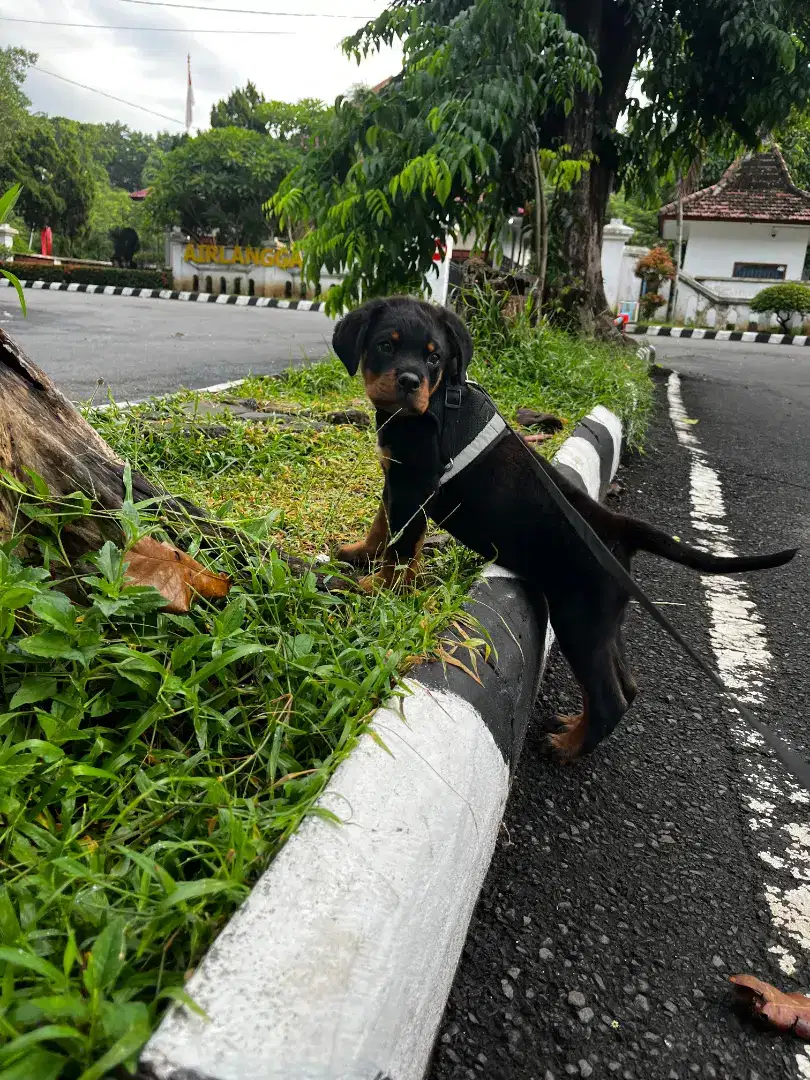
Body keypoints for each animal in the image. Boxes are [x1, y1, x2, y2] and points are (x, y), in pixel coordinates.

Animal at [330, 295, 799, 760]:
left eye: (434, 358)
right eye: (385, 346)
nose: (410, 382)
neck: (435, 405)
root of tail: (618, 529)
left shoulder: (414, 488)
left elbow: (400, 545)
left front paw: (376, 588)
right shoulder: (396, 483)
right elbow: (382, 524)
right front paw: (360, 554)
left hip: (579, 619)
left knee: (610, 697)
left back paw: (568, 748)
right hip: (603, 622)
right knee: (627, 686)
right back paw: (576, 727)